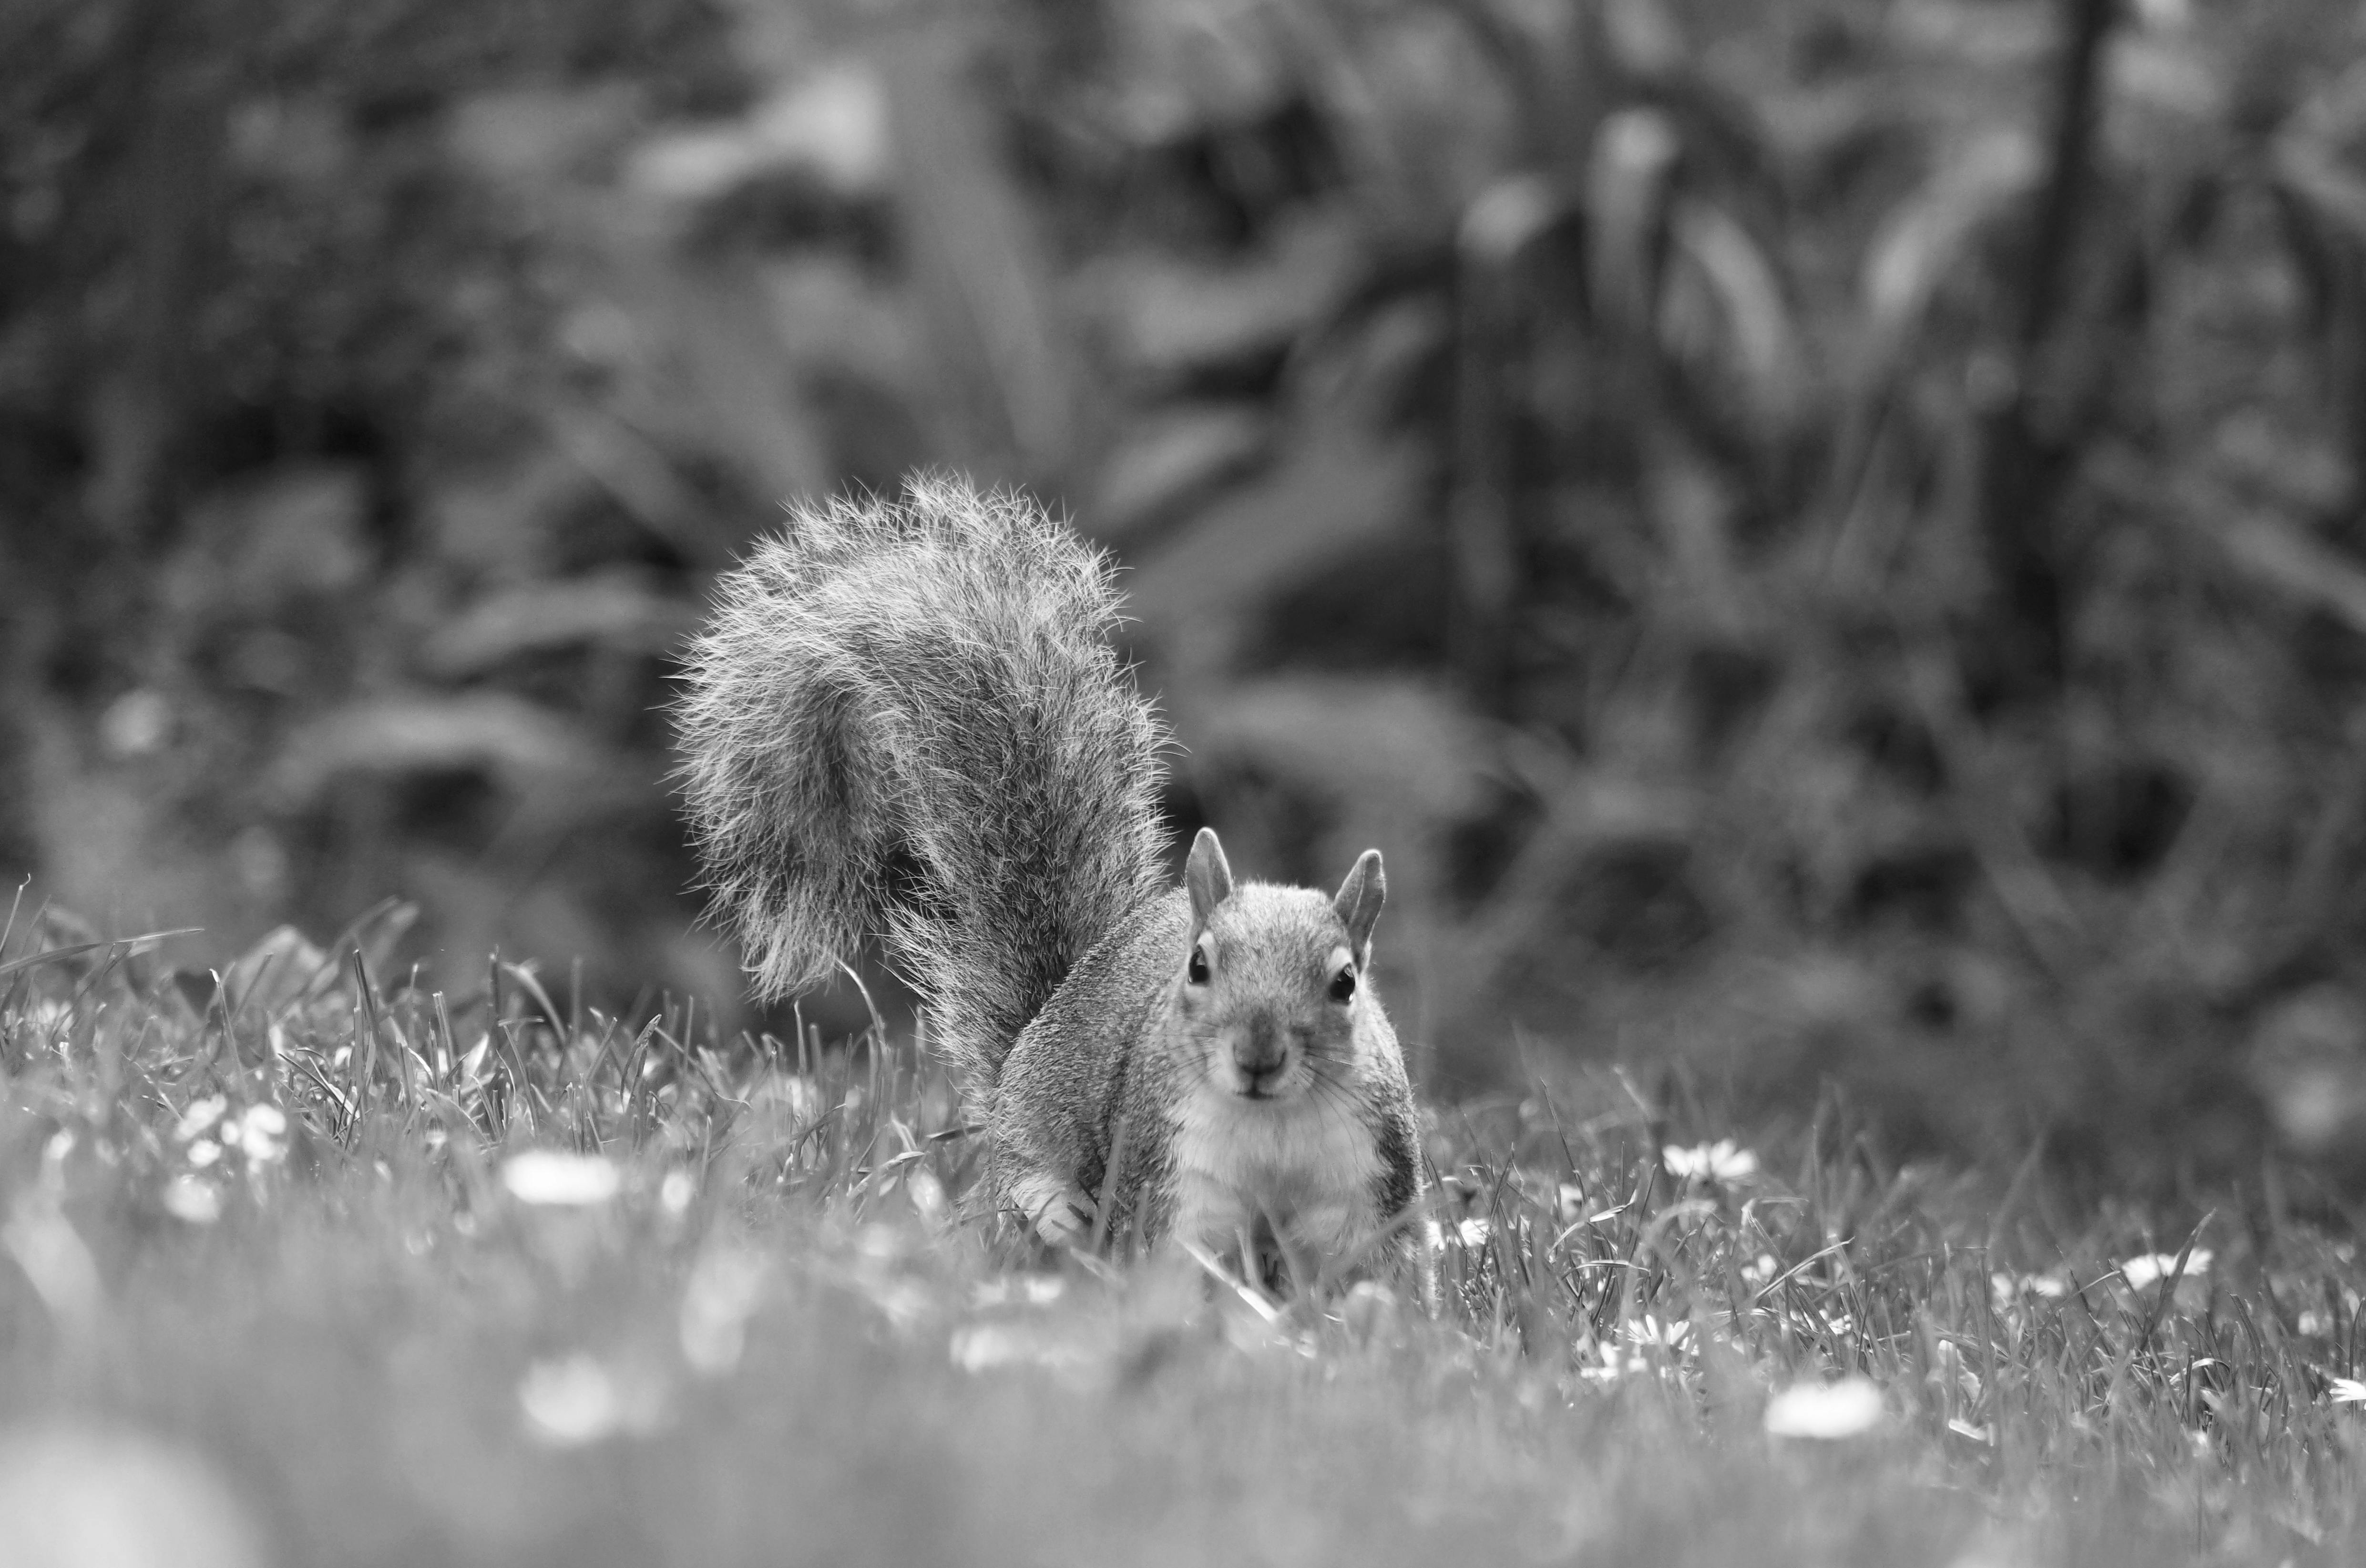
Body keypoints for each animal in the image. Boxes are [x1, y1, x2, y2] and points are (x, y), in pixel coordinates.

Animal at [676, 475, 1432, 1295]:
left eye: (1345, 983)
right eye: (1198, 967)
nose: (1257, 1057)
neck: (1271, 1122)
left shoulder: (1364, 1184)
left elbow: (1371, 1274)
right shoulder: (1174, 1174)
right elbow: (1176, 1264)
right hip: (1033, 1154)